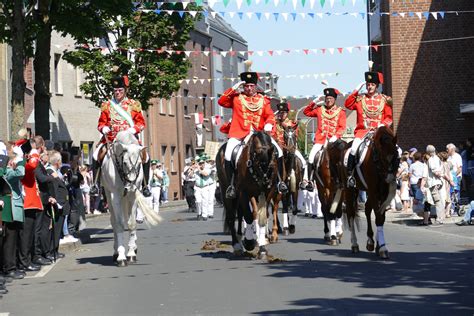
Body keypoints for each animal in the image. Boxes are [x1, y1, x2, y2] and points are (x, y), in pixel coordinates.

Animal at [100, 131, 161, 266]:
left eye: (139, 164)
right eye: (125, 163)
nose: (130, 186)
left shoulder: (133, 196)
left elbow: (132, 223)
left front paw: (131, 254)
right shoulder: (115, 197)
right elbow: (119, 224)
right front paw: (121, 256)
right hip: (110, 197)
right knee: (114, 222)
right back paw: (116, 252)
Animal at [342, 126, 398, 260]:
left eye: (396, 156)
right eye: (382, 157)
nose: (390, 179)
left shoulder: (382, 193)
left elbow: (381, 217)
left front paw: (379, 245)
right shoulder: (373, 191)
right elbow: (378, 217)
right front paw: (382, 248)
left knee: (367, 210)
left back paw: (370, 242)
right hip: (350, 190)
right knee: (351, 213)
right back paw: (354, 244)